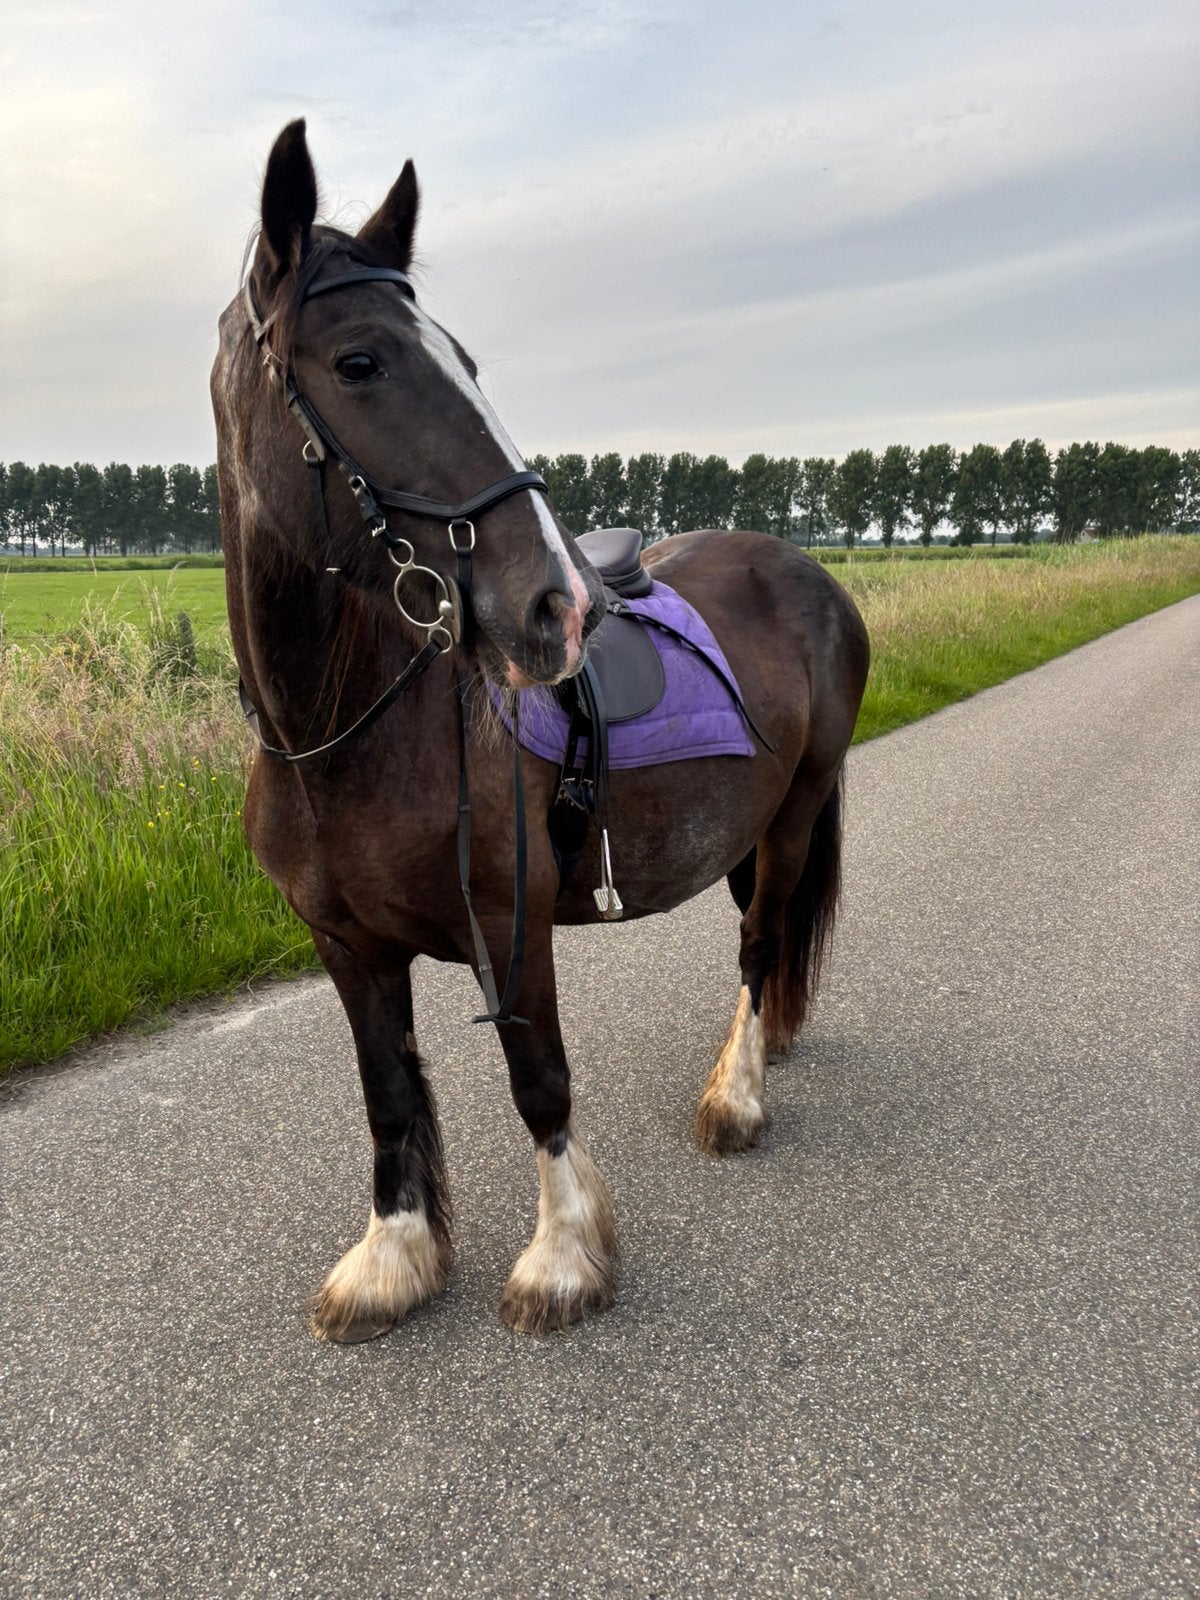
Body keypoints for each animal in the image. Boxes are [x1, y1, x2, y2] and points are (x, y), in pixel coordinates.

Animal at [210, 120, 869, 1342]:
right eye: (360, 362)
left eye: (466, 361)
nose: (554, 605)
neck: (343, 740)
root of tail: (805, 571)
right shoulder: (344, 944)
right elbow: (387, 1093)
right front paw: (394, 1258)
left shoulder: (513, 926)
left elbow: (539, 1078)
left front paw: (563, 1258)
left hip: (798, 809)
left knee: (761, 944)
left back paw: (736, 1096)